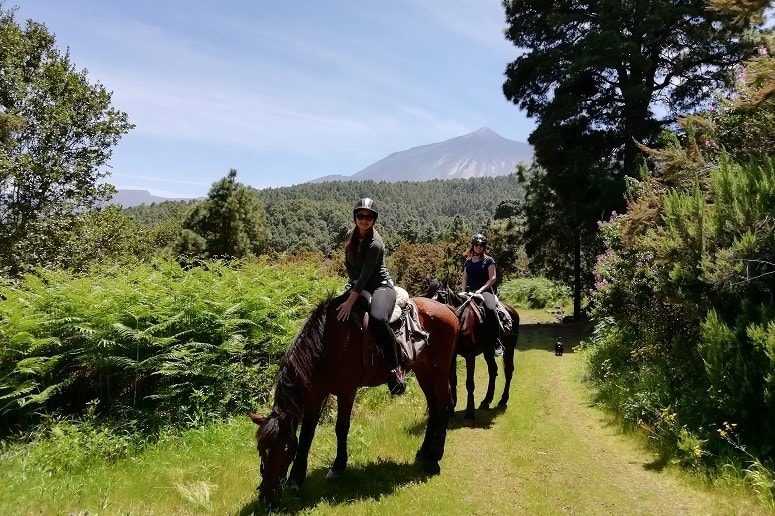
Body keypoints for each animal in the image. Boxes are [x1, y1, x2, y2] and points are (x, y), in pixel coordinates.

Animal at [249, 292, 458, 506]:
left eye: (283, 450)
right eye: (261, 450)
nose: (267, 497)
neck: (328, 343)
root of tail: (447, 309)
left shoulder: (346, 391)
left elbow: (341, 428)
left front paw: (337, 467)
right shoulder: (315, 395)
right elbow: (307, 434)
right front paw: (295, 481)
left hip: (439, 372)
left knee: (444, 406)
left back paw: (433, 458)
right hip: (422, 370)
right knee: (433, 408)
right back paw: (424, 452)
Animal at [424, 280, 520, 426]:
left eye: (441, 299)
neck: (460, 321)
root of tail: (512, 310)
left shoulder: (469, 355)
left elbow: (469, 383)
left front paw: (469, 414)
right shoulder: (452, 355)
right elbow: (452, 379)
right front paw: (451, 409)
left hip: (509, 348)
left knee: (508, 371)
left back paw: (503, 400)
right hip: (488, 351)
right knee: (493, 370)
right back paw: (486, 401)